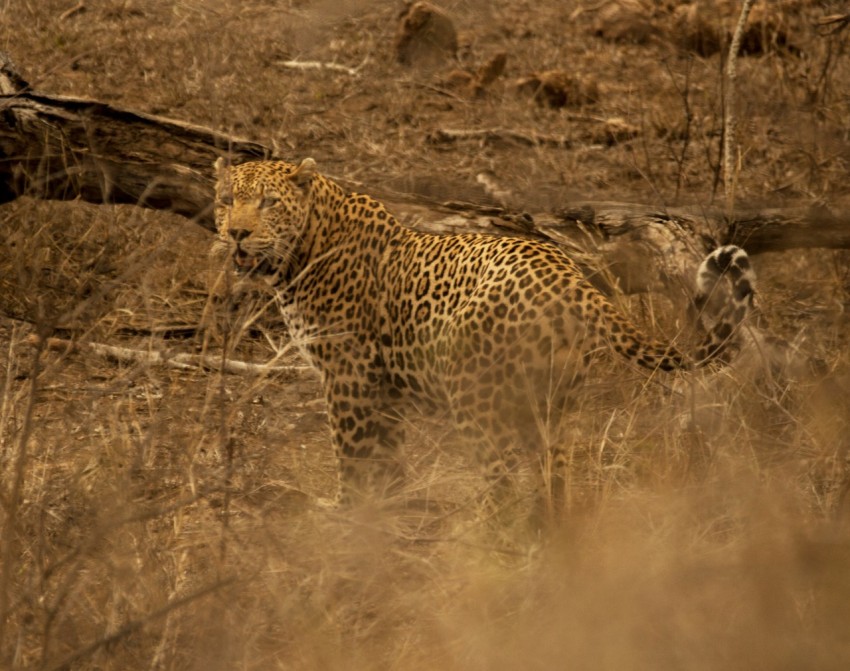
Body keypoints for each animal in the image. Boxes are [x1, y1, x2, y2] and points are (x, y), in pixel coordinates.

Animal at [212, 157, 754, 512]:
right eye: (226, 201)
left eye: (268, 202)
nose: (236, 233)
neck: (301, 250)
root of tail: (571, 278)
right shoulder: (381, 386)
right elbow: (386, 453)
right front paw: (390, 506)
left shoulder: (348, 376)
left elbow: (352, 453)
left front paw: (347, 515)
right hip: (554, 399)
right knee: (554, 477)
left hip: (475, 397)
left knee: (502, 481)